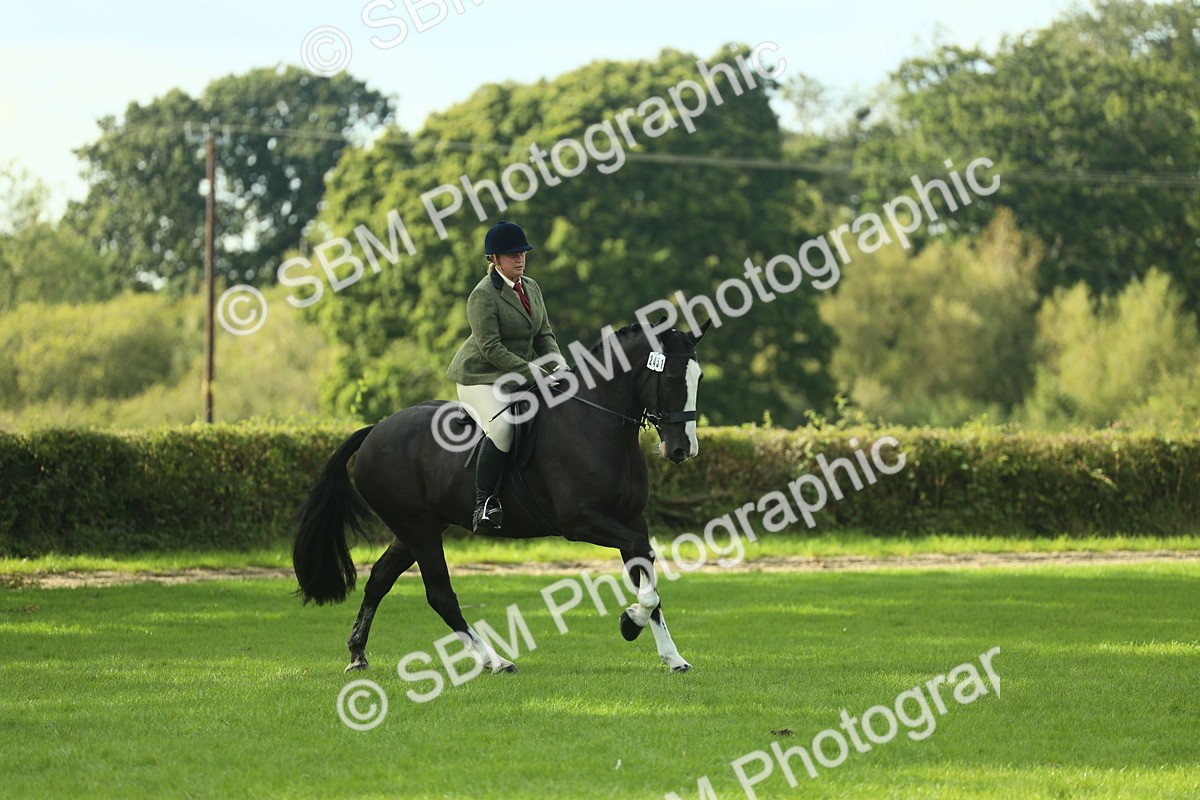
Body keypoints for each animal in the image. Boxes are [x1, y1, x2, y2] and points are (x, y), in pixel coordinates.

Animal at [292, 321, 710, 674]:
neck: (596, 423)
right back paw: (495, 661)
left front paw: (670, 655)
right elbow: (644, 564)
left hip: (415, 529)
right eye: (673, 377)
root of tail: (375, 429)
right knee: (440, 595)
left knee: (379, 579)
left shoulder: (631, 519)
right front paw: (630, 621)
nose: (682, 450)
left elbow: (646, 570)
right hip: (418, 529)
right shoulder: (581, 522)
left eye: (699, 377)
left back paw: (357, 654)